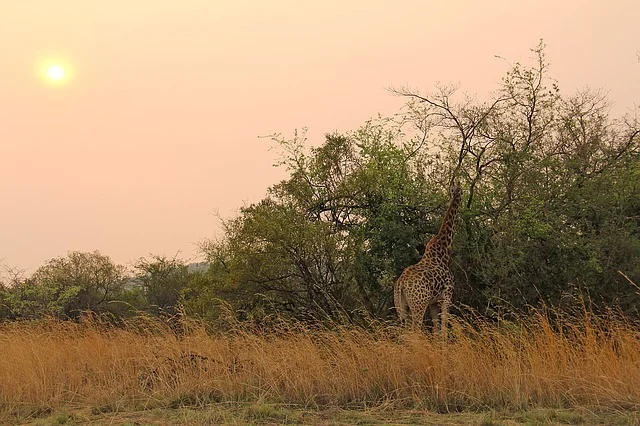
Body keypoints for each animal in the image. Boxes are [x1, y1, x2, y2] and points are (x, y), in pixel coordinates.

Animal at [394, 181, 462, 331]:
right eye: (461, 191)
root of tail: (401, 284)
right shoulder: (447, 295)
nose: (454, 196)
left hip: (401, 307)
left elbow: (436, 329)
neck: (443, 250)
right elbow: (443, 328)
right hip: (418, 305)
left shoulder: (433, 302)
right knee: (415, 331)